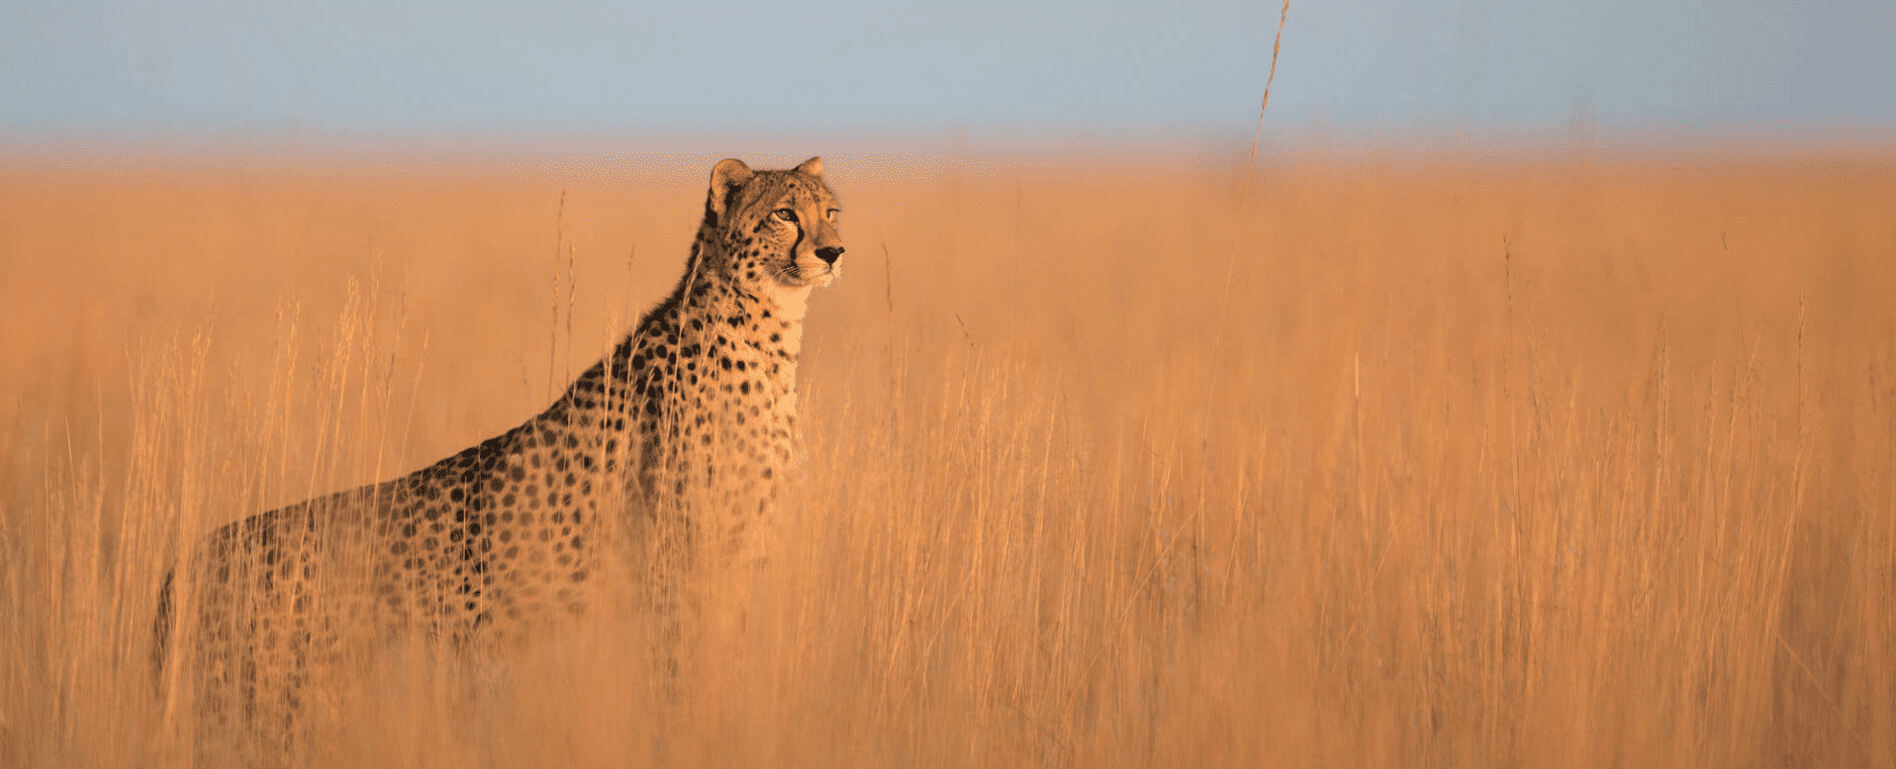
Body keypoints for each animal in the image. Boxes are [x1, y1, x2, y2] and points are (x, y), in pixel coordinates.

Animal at [153, 156, 844, 753]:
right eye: (785, 214)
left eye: (832, 211)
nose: (833, 251)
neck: (768, 328)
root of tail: (194, 553)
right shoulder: (684, 559)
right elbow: (686, 672)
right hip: (268, 703)